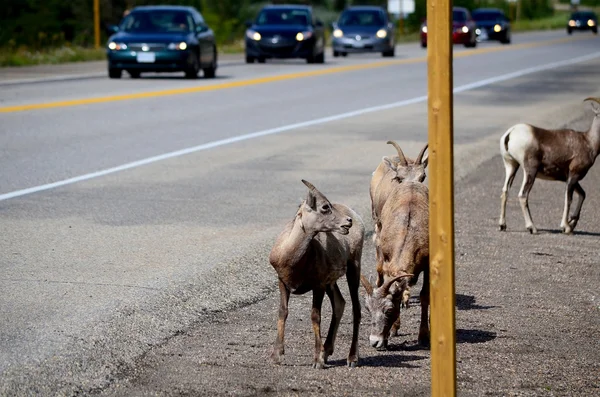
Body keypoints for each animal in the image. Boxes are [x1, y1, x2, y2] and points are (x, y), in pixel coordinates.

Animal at [268, 179, 366, 368]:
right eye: (325, 207)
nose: (348, 222)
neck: (291, 259)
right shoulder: (282, 282)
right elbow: (283, 312)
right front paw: (276, 356)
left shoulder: (318, 285)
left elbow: (315, 316)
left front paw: (317, 361)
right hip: (331, 283)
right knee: (340, 303)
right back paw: (327, 351)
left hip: (353, 268)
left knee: (355, 308)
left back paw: (352, 358)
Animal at [358, 181, 428, 348]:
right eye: (368, 308)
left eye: (389, 310)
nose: (374, 342)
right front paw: (393, 331)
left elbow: (425, 296)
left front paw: (423, 337)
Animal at [496, 97, 600, 234]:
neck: (588, 142)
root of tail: (510, 133)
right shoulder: (573, 175)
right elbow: (568, 199)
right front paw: (566, 227)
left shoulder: (569, 178)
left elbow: (582, 195)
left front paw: (572, 223)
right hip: (530, 171)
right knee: (523, 195)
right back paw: (532, 228)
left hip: (511, 166)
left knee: (505, 191)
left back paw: (502, 225)